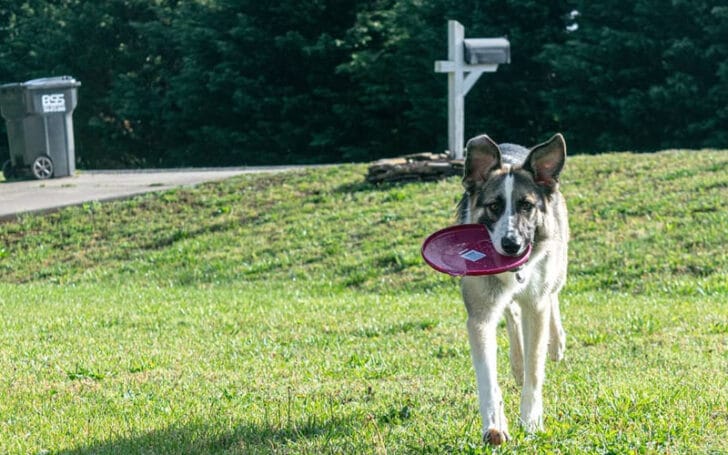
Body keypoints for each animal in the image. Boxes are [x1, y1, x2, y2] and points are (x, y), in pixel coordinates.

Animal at [456, 134, 568, 448]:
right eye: (494, 206)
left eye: (527, 205)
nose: (511, 244)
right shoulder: (480, 315)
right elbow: (487, 379)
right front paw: (494, 427)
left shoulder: (537, 306)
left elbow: (535, 371)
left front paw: (531, 422)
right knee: (512, 315)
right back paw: (516, 364)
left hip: (558, 264)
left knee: (553, 297)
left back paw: (556, 344)